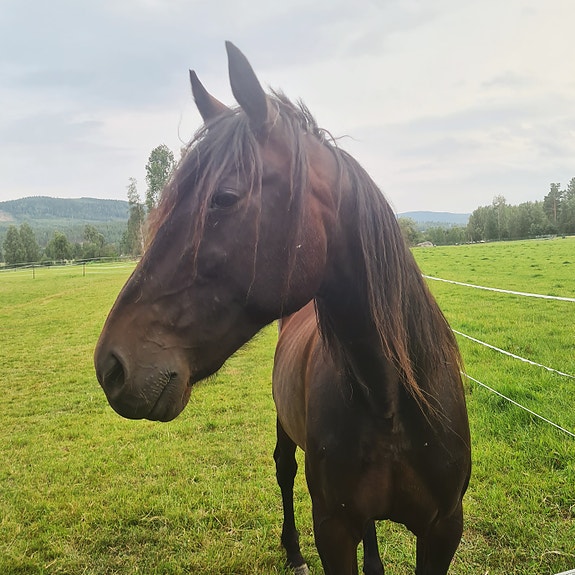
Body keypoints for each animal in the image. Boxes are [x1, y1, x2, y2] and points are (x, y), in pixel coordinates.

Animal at [94, 42, 471, 574]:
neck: (391, 400)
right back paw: (292, 551)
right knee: (284, 470)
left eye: (225, 197)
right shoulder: (333, 529)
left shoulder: (443, 529)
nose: (111, 366)